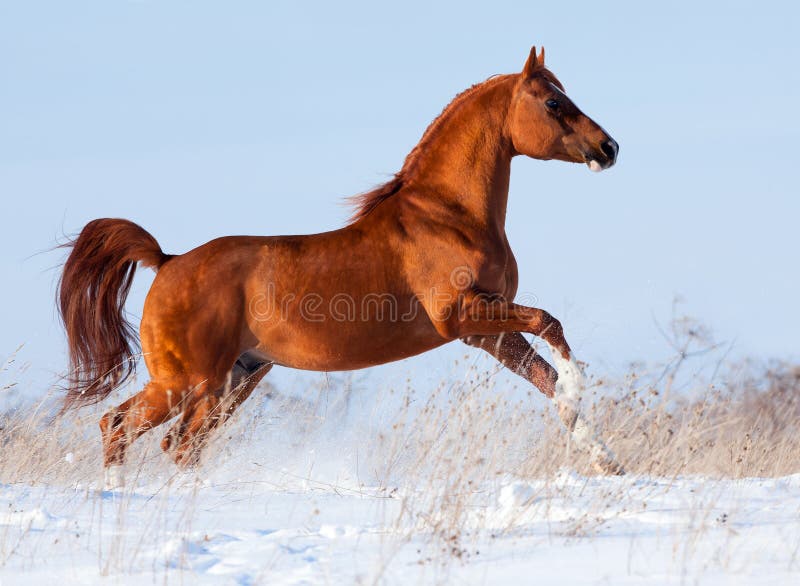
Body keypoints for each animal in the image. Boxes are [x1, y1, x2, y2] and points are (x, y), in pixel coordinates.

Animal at [61, 45, 624, 484]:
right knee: (119, 427)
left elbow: (546, 376)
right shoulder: (463, 316)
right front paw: (580, 389)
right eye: (554, 102)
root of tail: (167, 262)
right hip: (187, 381)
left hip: (233, 381)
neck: (448, 215)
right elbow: (550, 323)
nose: (609, 147)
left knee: (180, 446)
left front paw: (605, 458)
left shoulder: (489, 332)